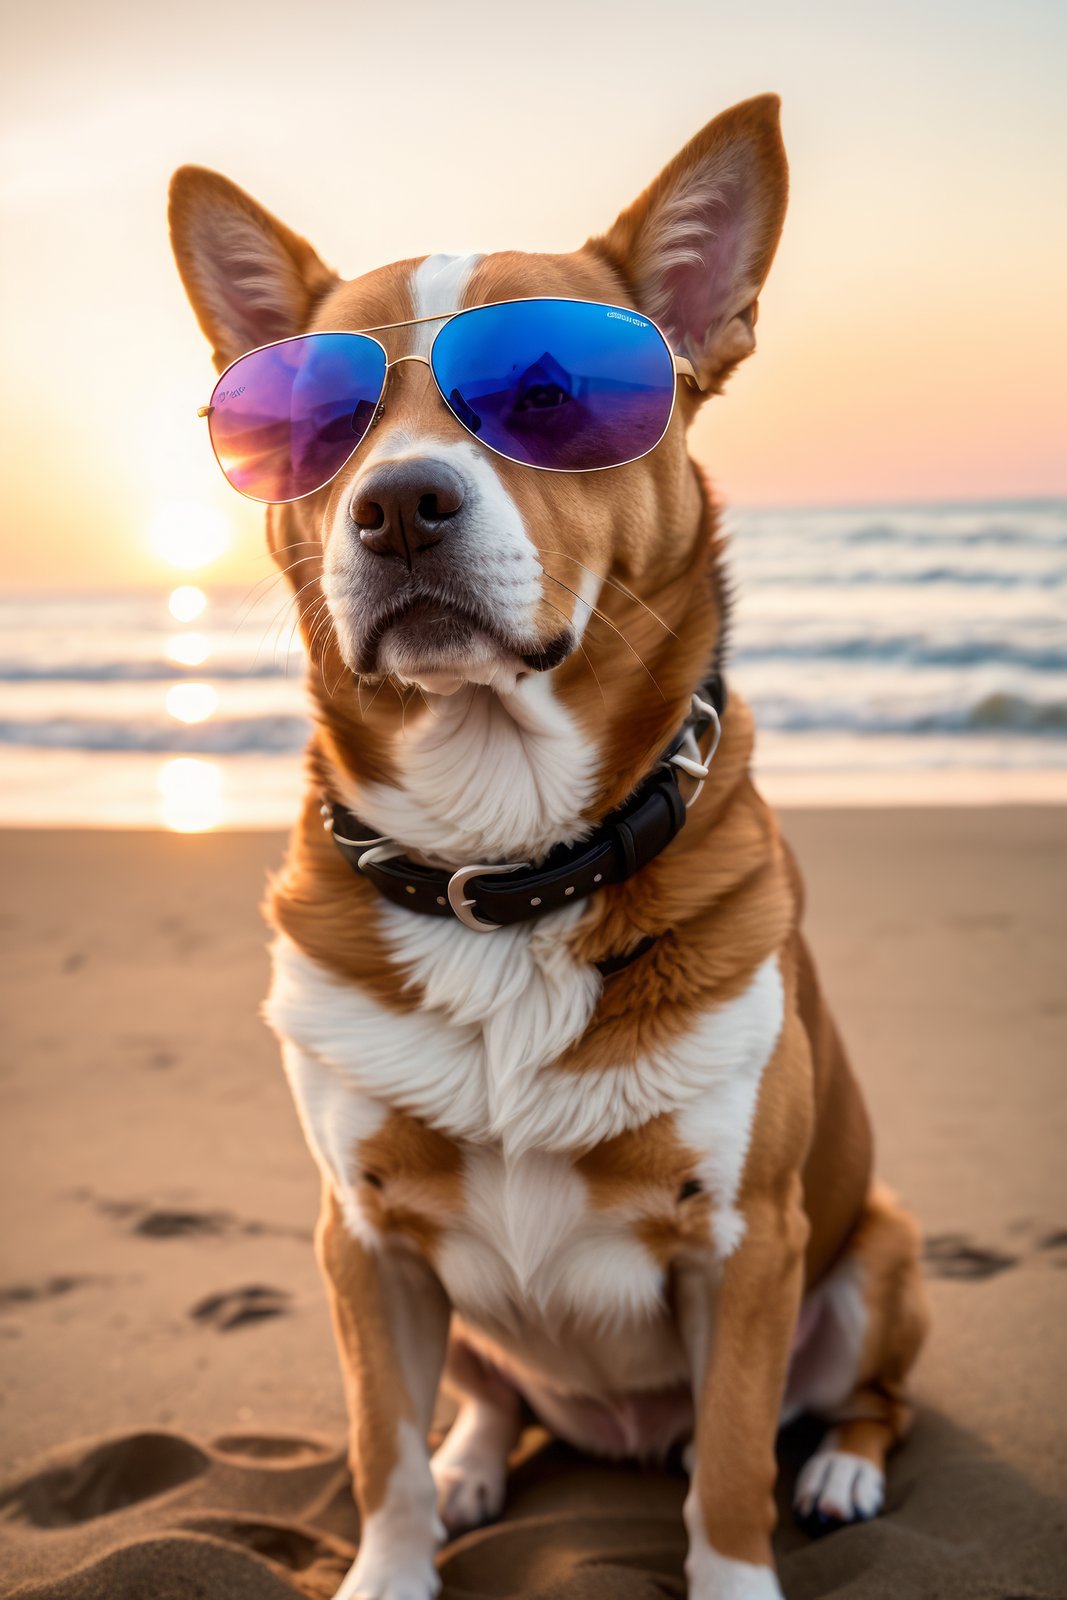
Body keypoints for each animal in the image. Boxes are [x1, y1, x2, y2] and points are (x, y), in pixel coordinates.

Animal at [168, 96, 927, 1600]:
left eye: (550, 396)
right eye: (319, 423)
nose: (397, 504)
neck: (503, 870)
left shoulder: (747, 1242)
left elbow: (730, 1477)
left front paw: (740, 1564)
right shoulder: (361, 1240)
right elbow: (381, 1451)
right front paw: (392, 1564)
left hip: (878, 1249)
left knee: (845, 1401)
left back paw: (844, 1465)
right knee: (487, 1400)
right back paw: (477, 1464)